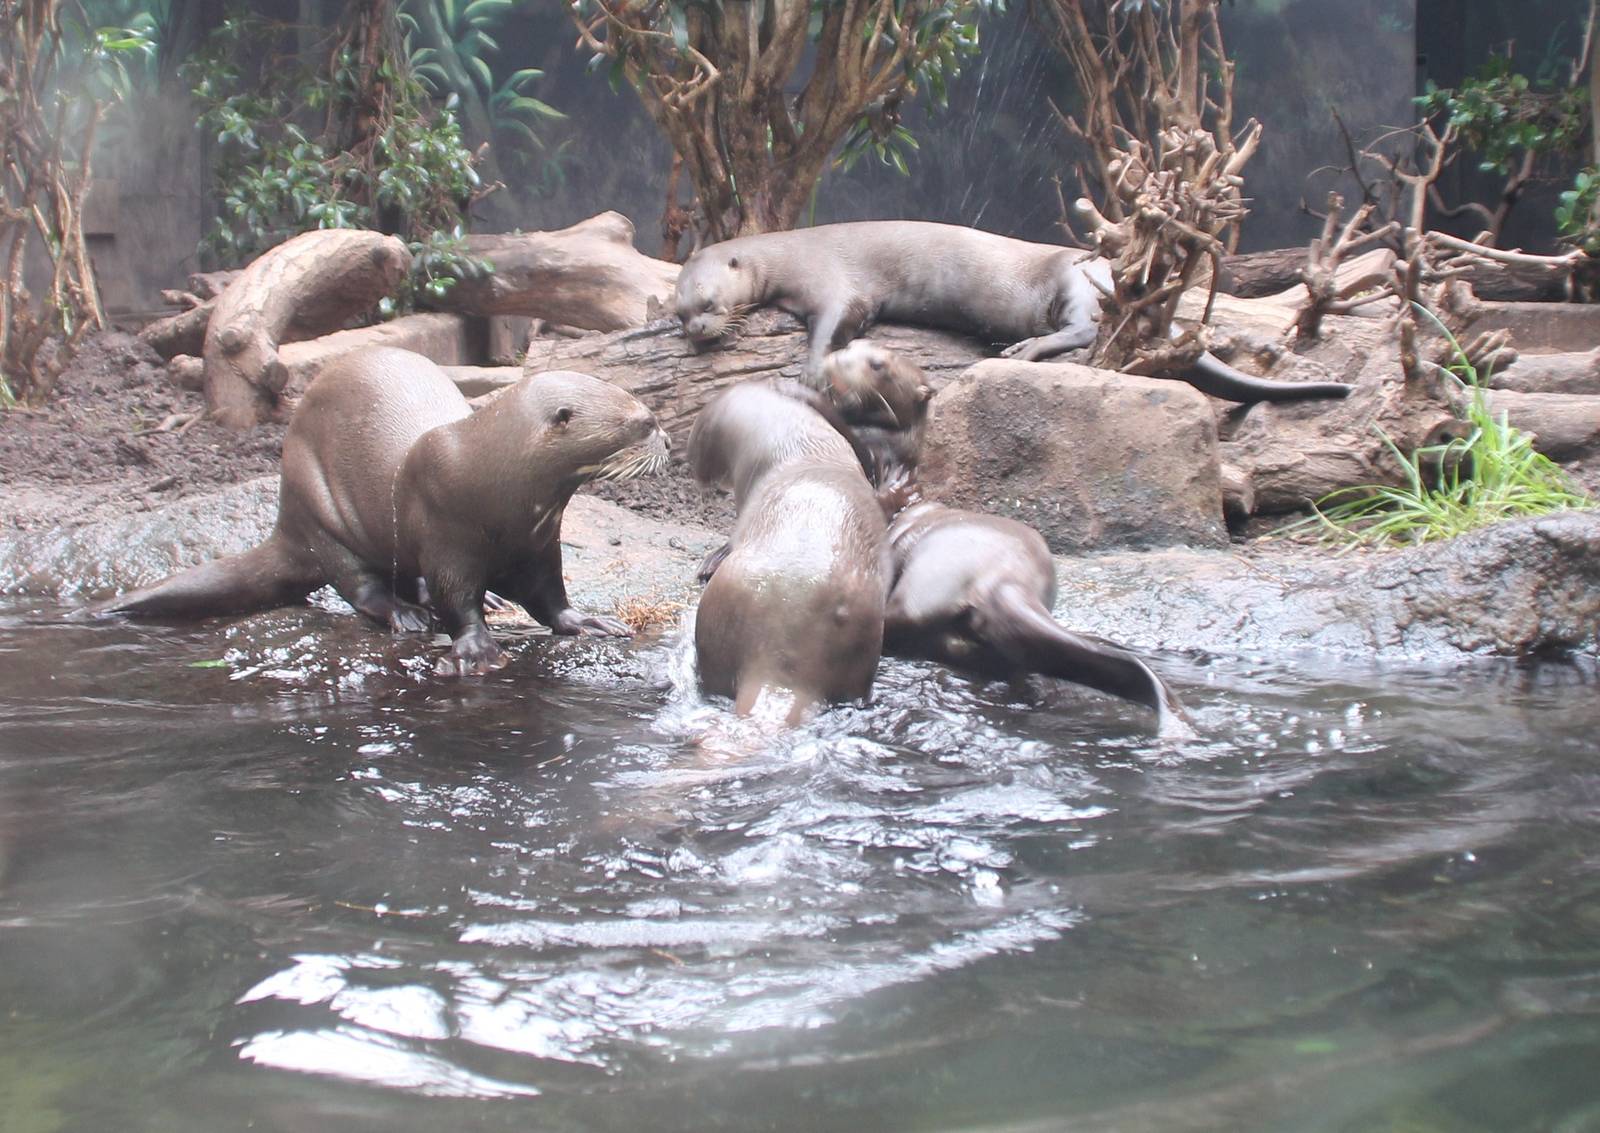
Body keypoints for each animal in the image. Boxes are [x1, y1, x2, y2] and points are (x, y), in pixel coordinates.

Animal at [91, 346, 668, 675]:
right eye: (642, 422)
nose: (664, 438)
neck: (495, 480)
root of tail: (284, 521)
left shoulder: (539, 543)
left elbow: (550, 597)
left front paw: (587, 622)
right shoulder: (446, 536)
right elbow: (458, 600)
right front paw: (475, 651)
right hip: (318, 511)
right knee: (361, 586)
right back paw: (406, 614)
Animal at [675, 220, 1352, 403]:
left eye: (707, 302)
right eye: (680, 313)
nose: (697, 331)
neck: (786, 254)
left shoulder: (832, 281)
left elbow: (837, 322)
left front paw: (813, 368)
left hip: (1080, 279)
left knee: (1084, 331)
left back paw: (1023, 349)